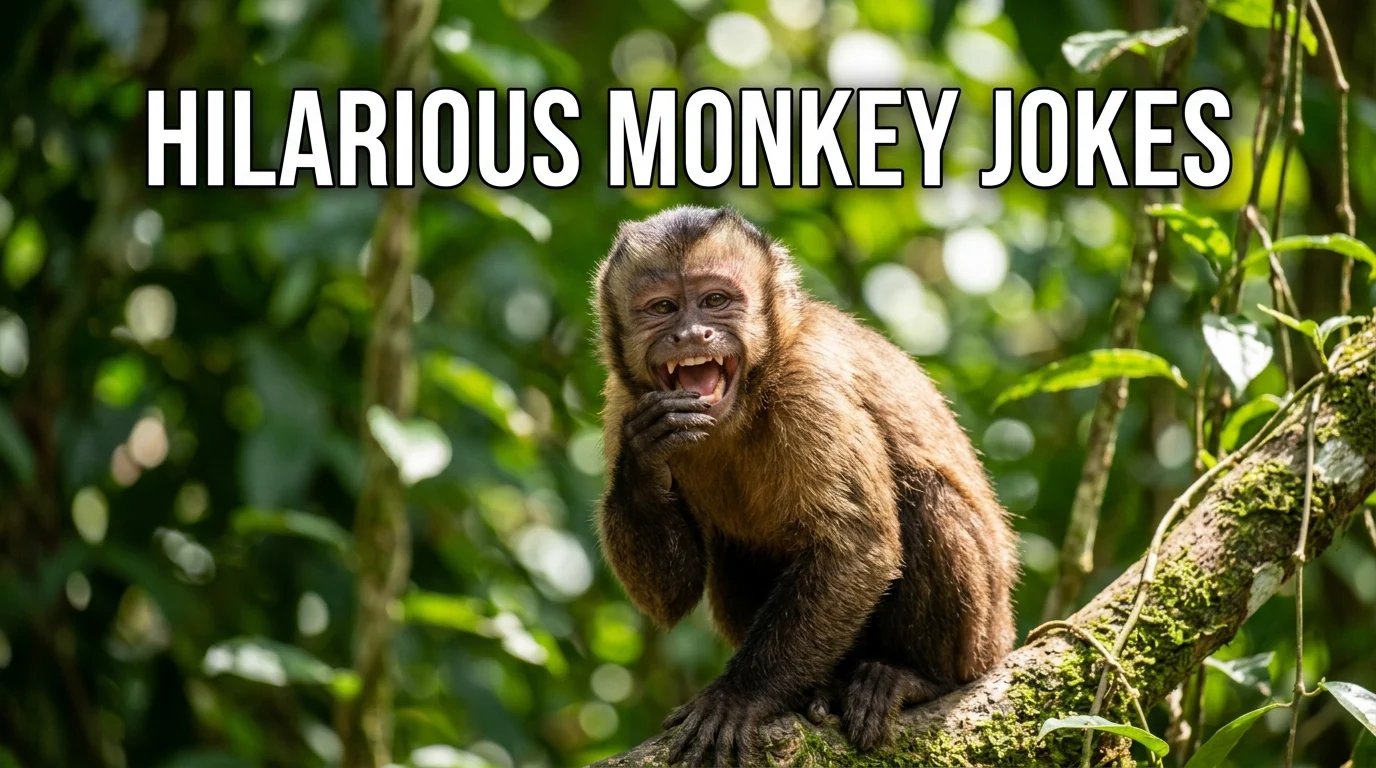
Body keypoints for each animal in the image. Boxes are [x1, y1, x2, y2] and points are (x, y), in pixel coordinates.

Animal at [593, 206, 1019, 766]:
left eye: (715, 301)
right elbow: (671, 596)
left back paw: (918, 679)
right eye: (662, 308)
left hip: (985, 636)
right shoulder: (624, 404)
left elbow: (857, 547)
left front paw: (740, 696)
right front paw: (644, 461)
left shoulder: (810, 385)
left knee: (926, 495)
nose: (692, 335)